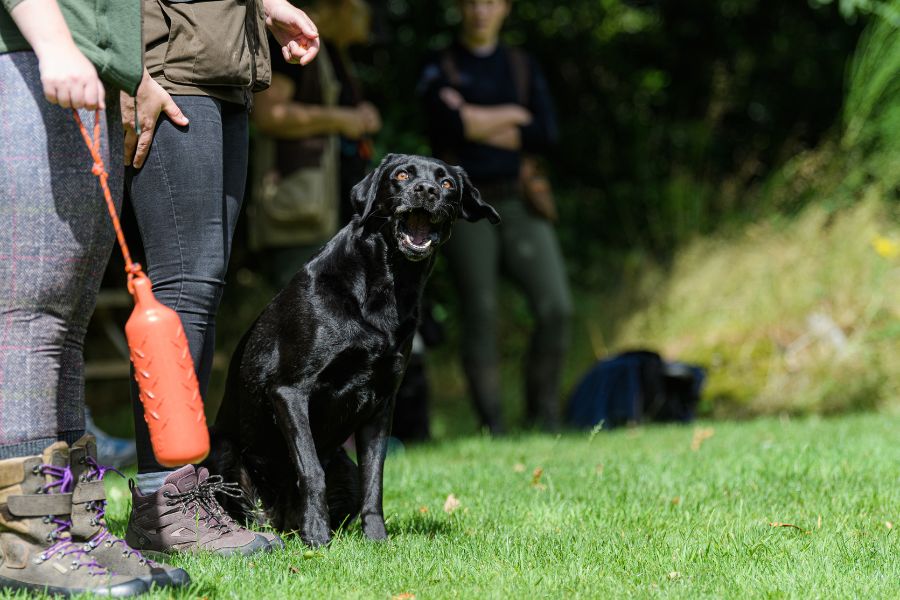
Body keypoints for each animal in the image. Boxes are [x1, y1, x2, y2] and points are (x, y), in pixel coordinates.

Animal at [209, 154, 500, 544]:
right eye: (401, 175)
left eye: (448, 183)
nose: (426, 190)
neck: (387, 288)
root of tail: (281, 520)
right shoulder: (290, 391)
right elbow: (311, 469)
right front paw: (317, 536)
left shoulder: (381, 404)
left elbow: (374, 478)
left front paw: (377, 538)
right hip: (223, 452)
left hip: (342, 465)